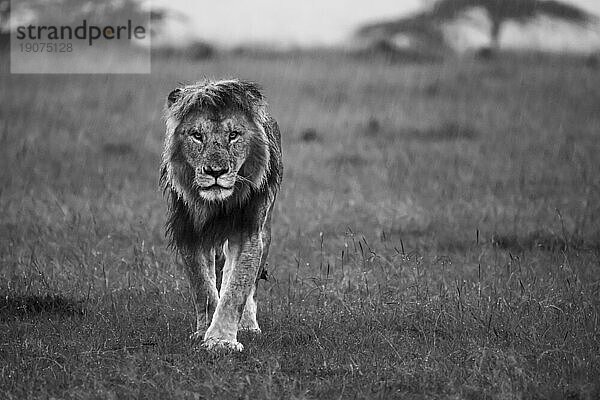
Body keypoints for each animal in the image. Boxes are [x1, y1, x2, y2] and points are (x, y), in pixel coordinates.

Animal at [158, 78, 282, 350]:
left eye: (233, 135)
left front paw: (222, 340)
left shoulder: (249, 231)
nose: (216, 171)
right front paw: (204, 332)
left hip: (265, 230)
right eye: (197, 136)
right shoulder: (189, 231)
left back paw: (248, 325)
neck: (217, 205)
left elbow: (236, 288)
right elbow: (202, 287)